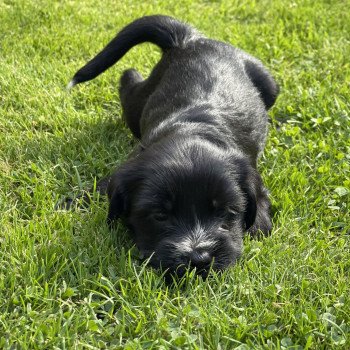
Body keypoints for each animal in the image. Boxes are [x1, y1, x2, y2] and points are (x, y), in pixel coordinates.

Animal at [69, 15, 278, 278]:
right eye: (160, 216)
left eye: (225, 213)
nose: (199, 258)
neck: (191, 129)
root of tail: (189, 39)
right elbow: (101, 186)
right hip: (141, 101)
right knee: (128, 81)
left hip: (270, 85)